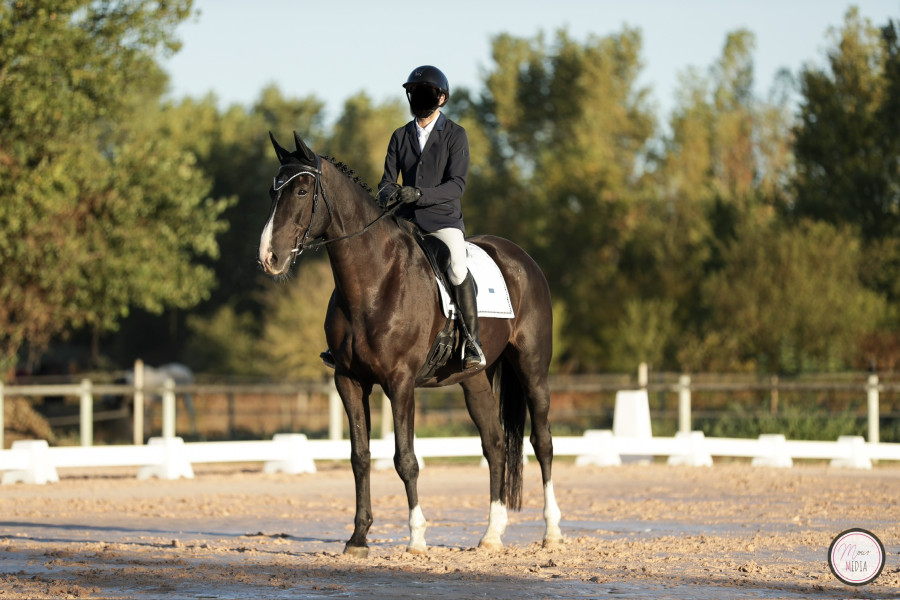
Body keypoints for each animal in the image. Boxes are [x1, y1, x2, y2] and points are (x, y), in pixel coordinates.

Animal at [258, 132, 561, 557]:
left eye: (301, 190)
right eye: (273, 191)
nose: (269, 256)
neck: (373, 280)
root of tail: (521, 258)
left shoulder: (400, 383)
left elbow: (406, 459)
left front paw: (416, 536)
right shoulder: (349, 381)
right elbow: (360, 457)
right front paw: (358, 539)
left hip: (532, 367)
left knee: (542, 441)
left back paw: (552, 531)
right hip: (474, 379)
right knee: (496, 444)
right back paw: (491, 534)